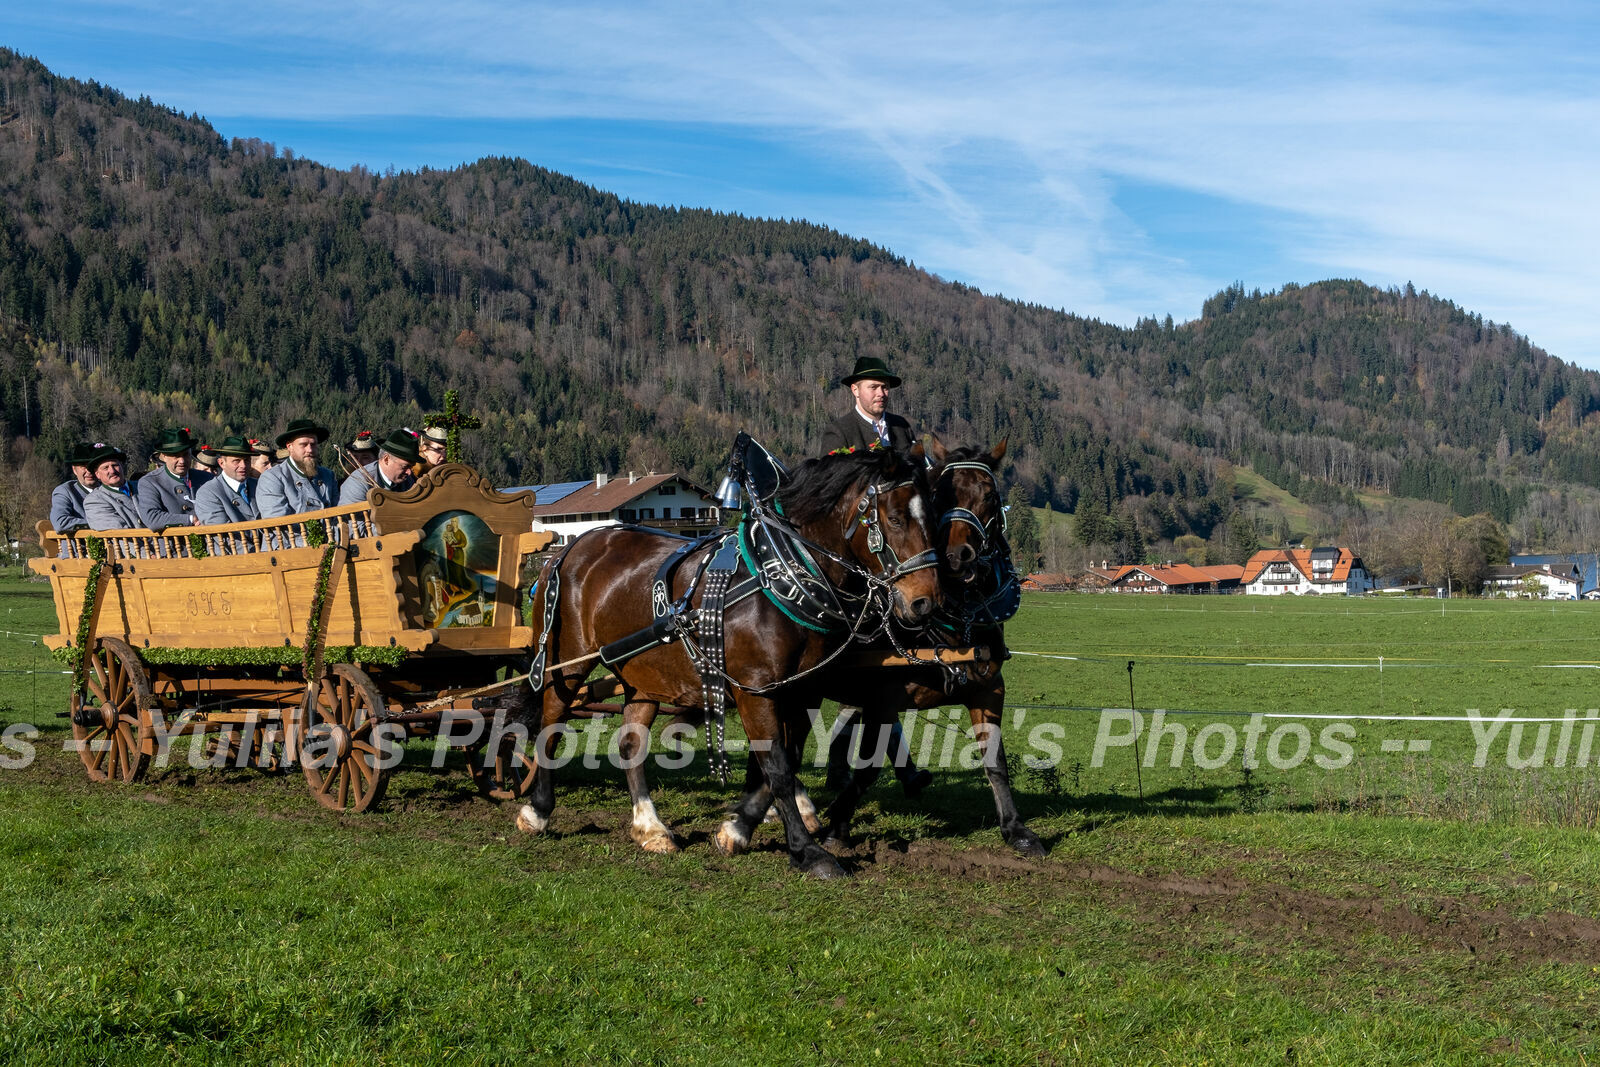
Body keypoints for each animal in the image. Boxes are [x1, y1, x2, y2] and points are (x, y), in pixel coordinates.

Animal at [512, 447, 940, 883]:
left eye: (931, 517)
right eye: (896, 518)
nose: (925, 603)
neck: (779, 576)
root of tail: (571, 547)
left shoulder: (802, 690)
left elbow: (784, 762)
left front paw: (739, 827)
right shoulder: (756, 689)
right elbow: (777, 767)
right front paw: (807, 851)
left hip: (643, 674)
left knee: (631, 742)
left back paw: (650, 827)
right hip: (565, 662)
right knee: (551, 720)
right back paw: (538, 810)